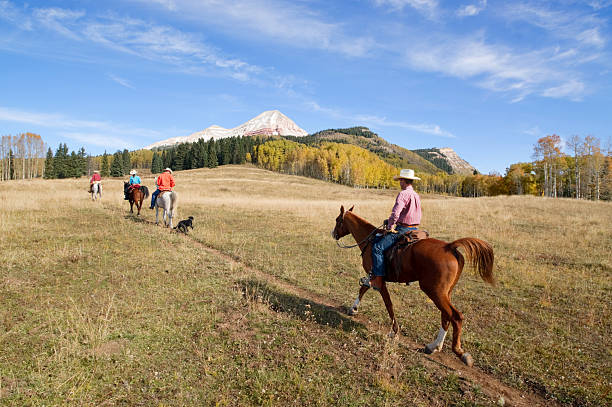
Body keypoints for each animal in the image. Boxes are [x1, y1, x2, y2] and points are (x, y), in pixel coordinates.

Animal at [332, 206, 494, 368]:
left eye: (338, 220)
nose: (333, 234)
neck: (371, 241)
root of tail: (450, 247)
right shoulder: (372, 277)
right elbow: (363, 289)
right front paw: (353, 309)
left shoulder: (378, 280)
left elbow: (388, 304)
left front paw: (394, 331)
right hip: (445, 292)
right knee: (446, 316)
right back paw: (433, 346)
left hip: (434, 291)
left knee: (455, 316)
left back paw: (459, 352)